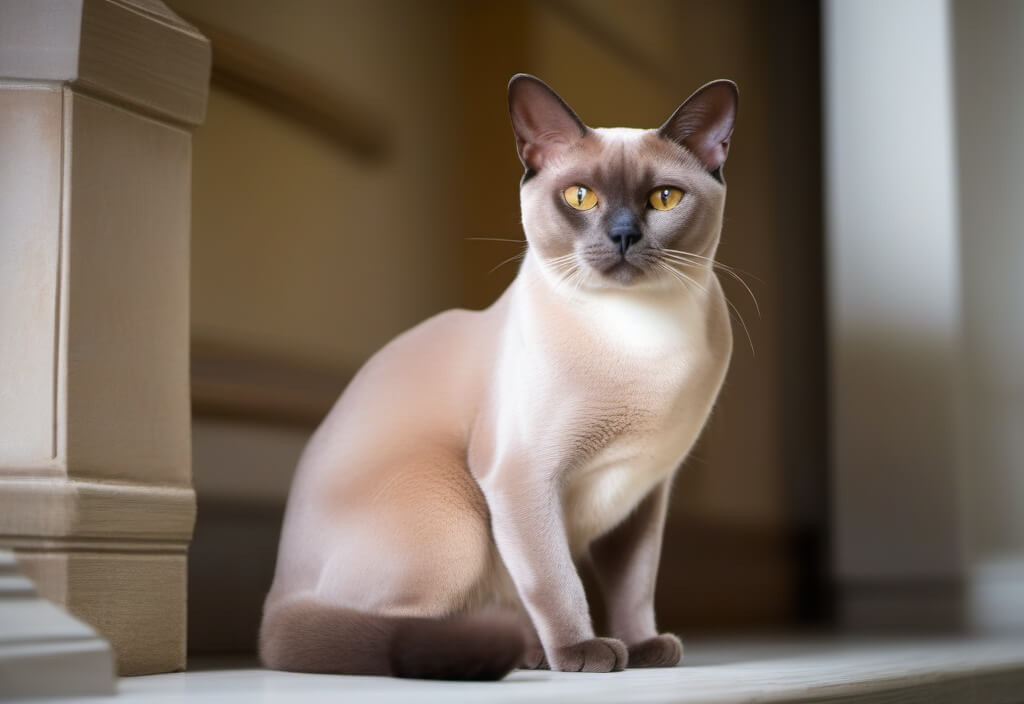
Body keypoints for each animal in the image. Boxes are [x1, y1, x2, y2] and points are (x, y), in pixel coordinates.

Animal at [256, 74, 737, 679]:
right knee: (392, 629)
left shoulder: (643, 495)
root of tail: (275, 603)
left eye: (664, 198)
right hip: (456, 521)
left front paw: (642, 646)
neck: (639, 338)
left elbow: (634, 585)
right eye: (581, 197)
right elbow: (556, 581)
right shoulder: (523, 478)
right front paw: (582, 653)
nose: (624, 235)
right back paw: (521, 652)